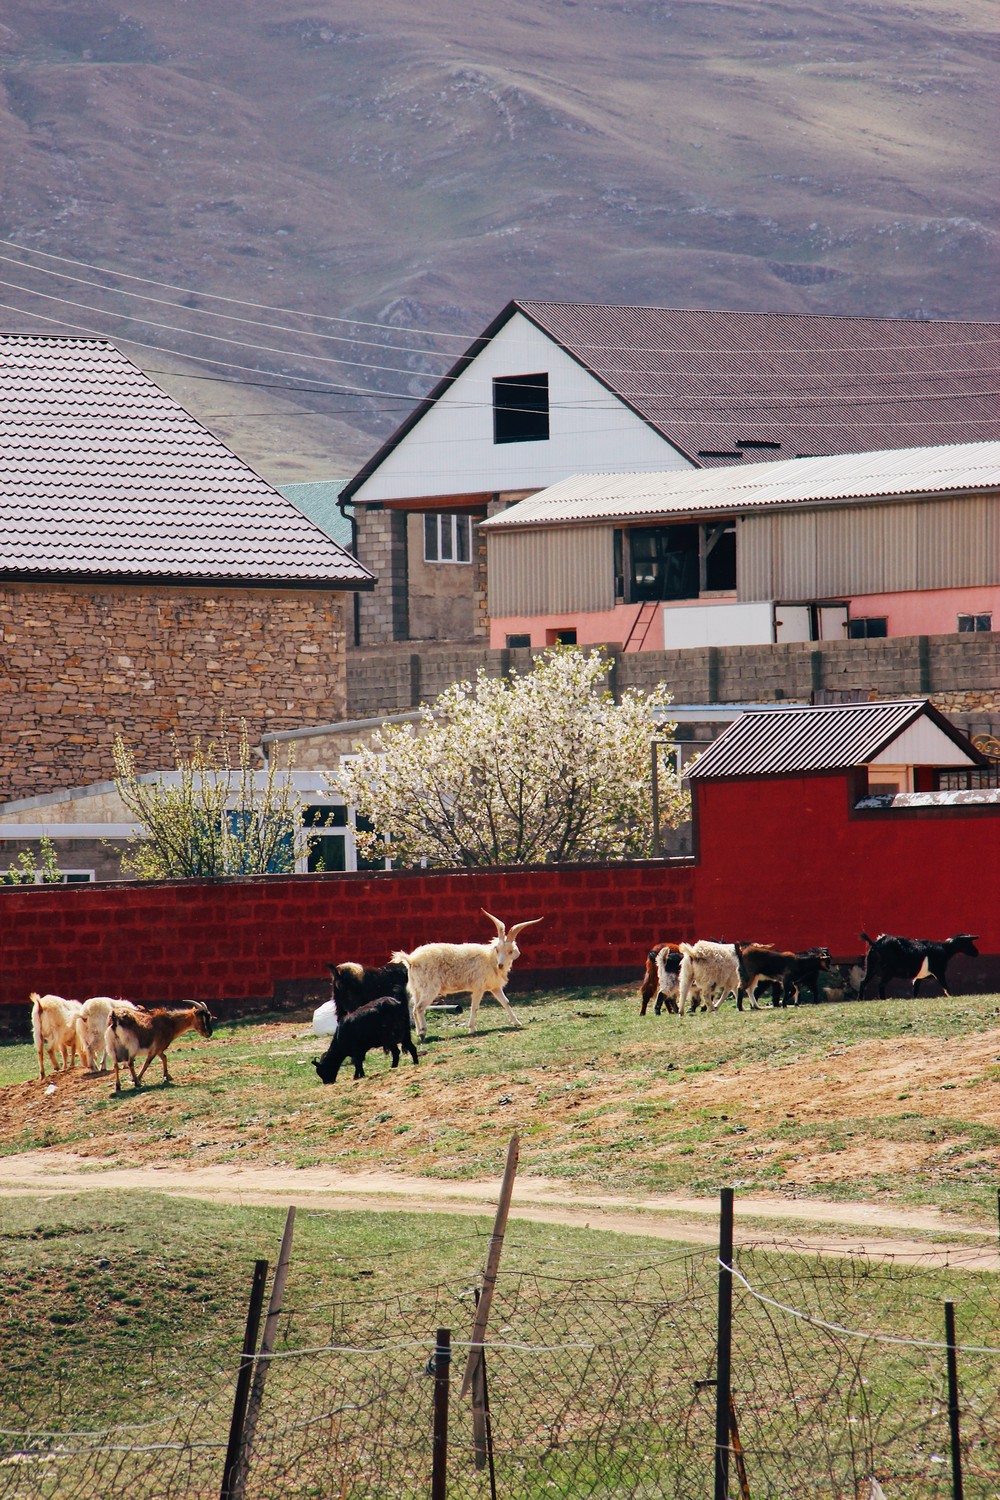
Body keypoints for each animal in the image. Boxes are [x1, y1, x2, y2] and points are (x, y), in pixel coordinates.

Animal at [395, 906, 542, 1038]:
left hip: (417, 988)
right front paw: (471, 1029)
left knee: (413, 1007)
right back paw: (423, 1032)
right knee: (420, 1007)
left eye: (510, 951)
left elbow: (506, 1002)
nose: (500, 965)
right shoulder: (478, 987)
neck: (490, 959)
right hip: (430, 988)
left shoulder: (494, 987)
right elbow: (474, 1006)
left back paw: (418, 1032)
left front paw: (517, 1022)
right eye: (497, 949)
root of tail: (411, 959)